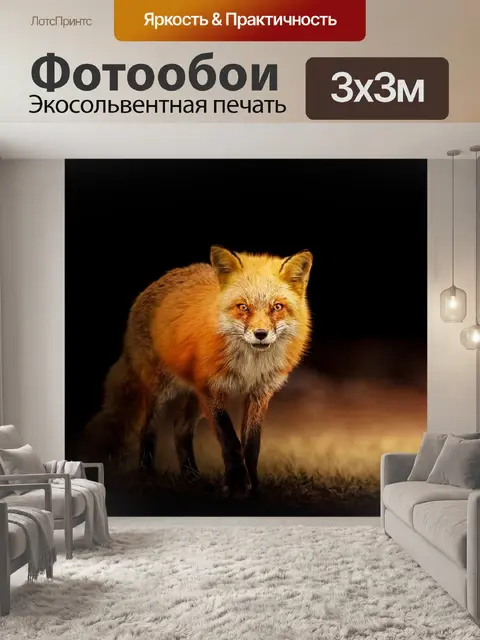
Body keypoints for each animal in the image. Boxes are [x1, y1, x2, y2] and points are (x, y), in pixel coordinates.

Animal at [84, 246, 313, 497]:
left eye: (277, 307)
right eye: (243, 307)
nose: (260, 334)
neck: (249, 365)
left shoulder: (259, 393)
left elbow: (251, 447)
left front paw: (253, 487)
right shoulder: (212, 389)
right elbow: (231, 442)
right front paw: (236, 486)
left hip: (195, 398)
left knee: (179, 428)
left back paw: (191, 477)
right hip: (161, 389)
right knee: (148, 429)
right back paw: (147, 475)